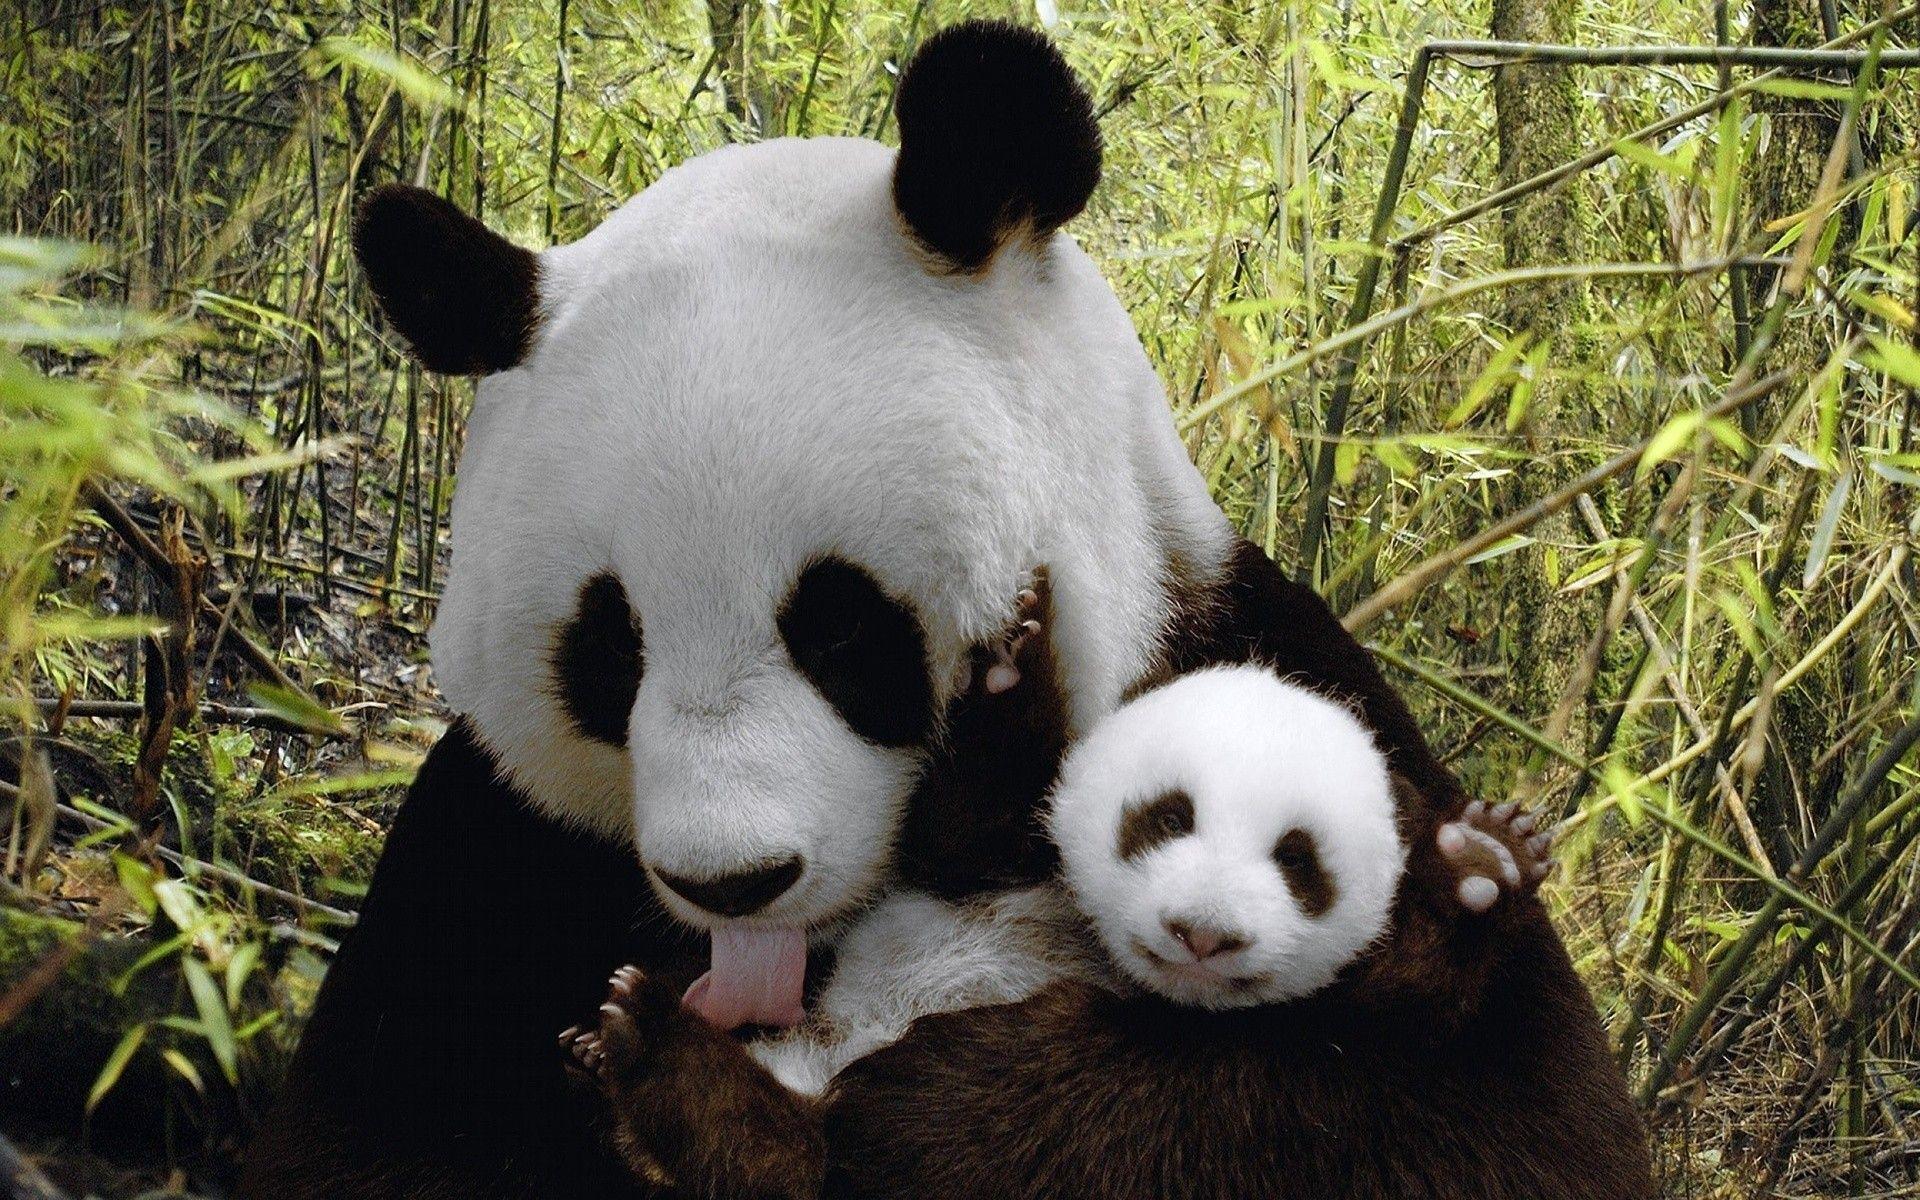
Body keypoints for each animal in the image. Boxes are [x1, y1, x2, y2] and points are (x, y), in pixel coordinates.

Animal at [238, 20, 1652, 1200]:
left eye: (840, 627)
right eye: (610, 648)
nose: (734, 884)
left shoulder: (1261, 664)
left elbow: (1488, 1119)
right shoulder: (493, 851)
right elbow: (371, 1138)